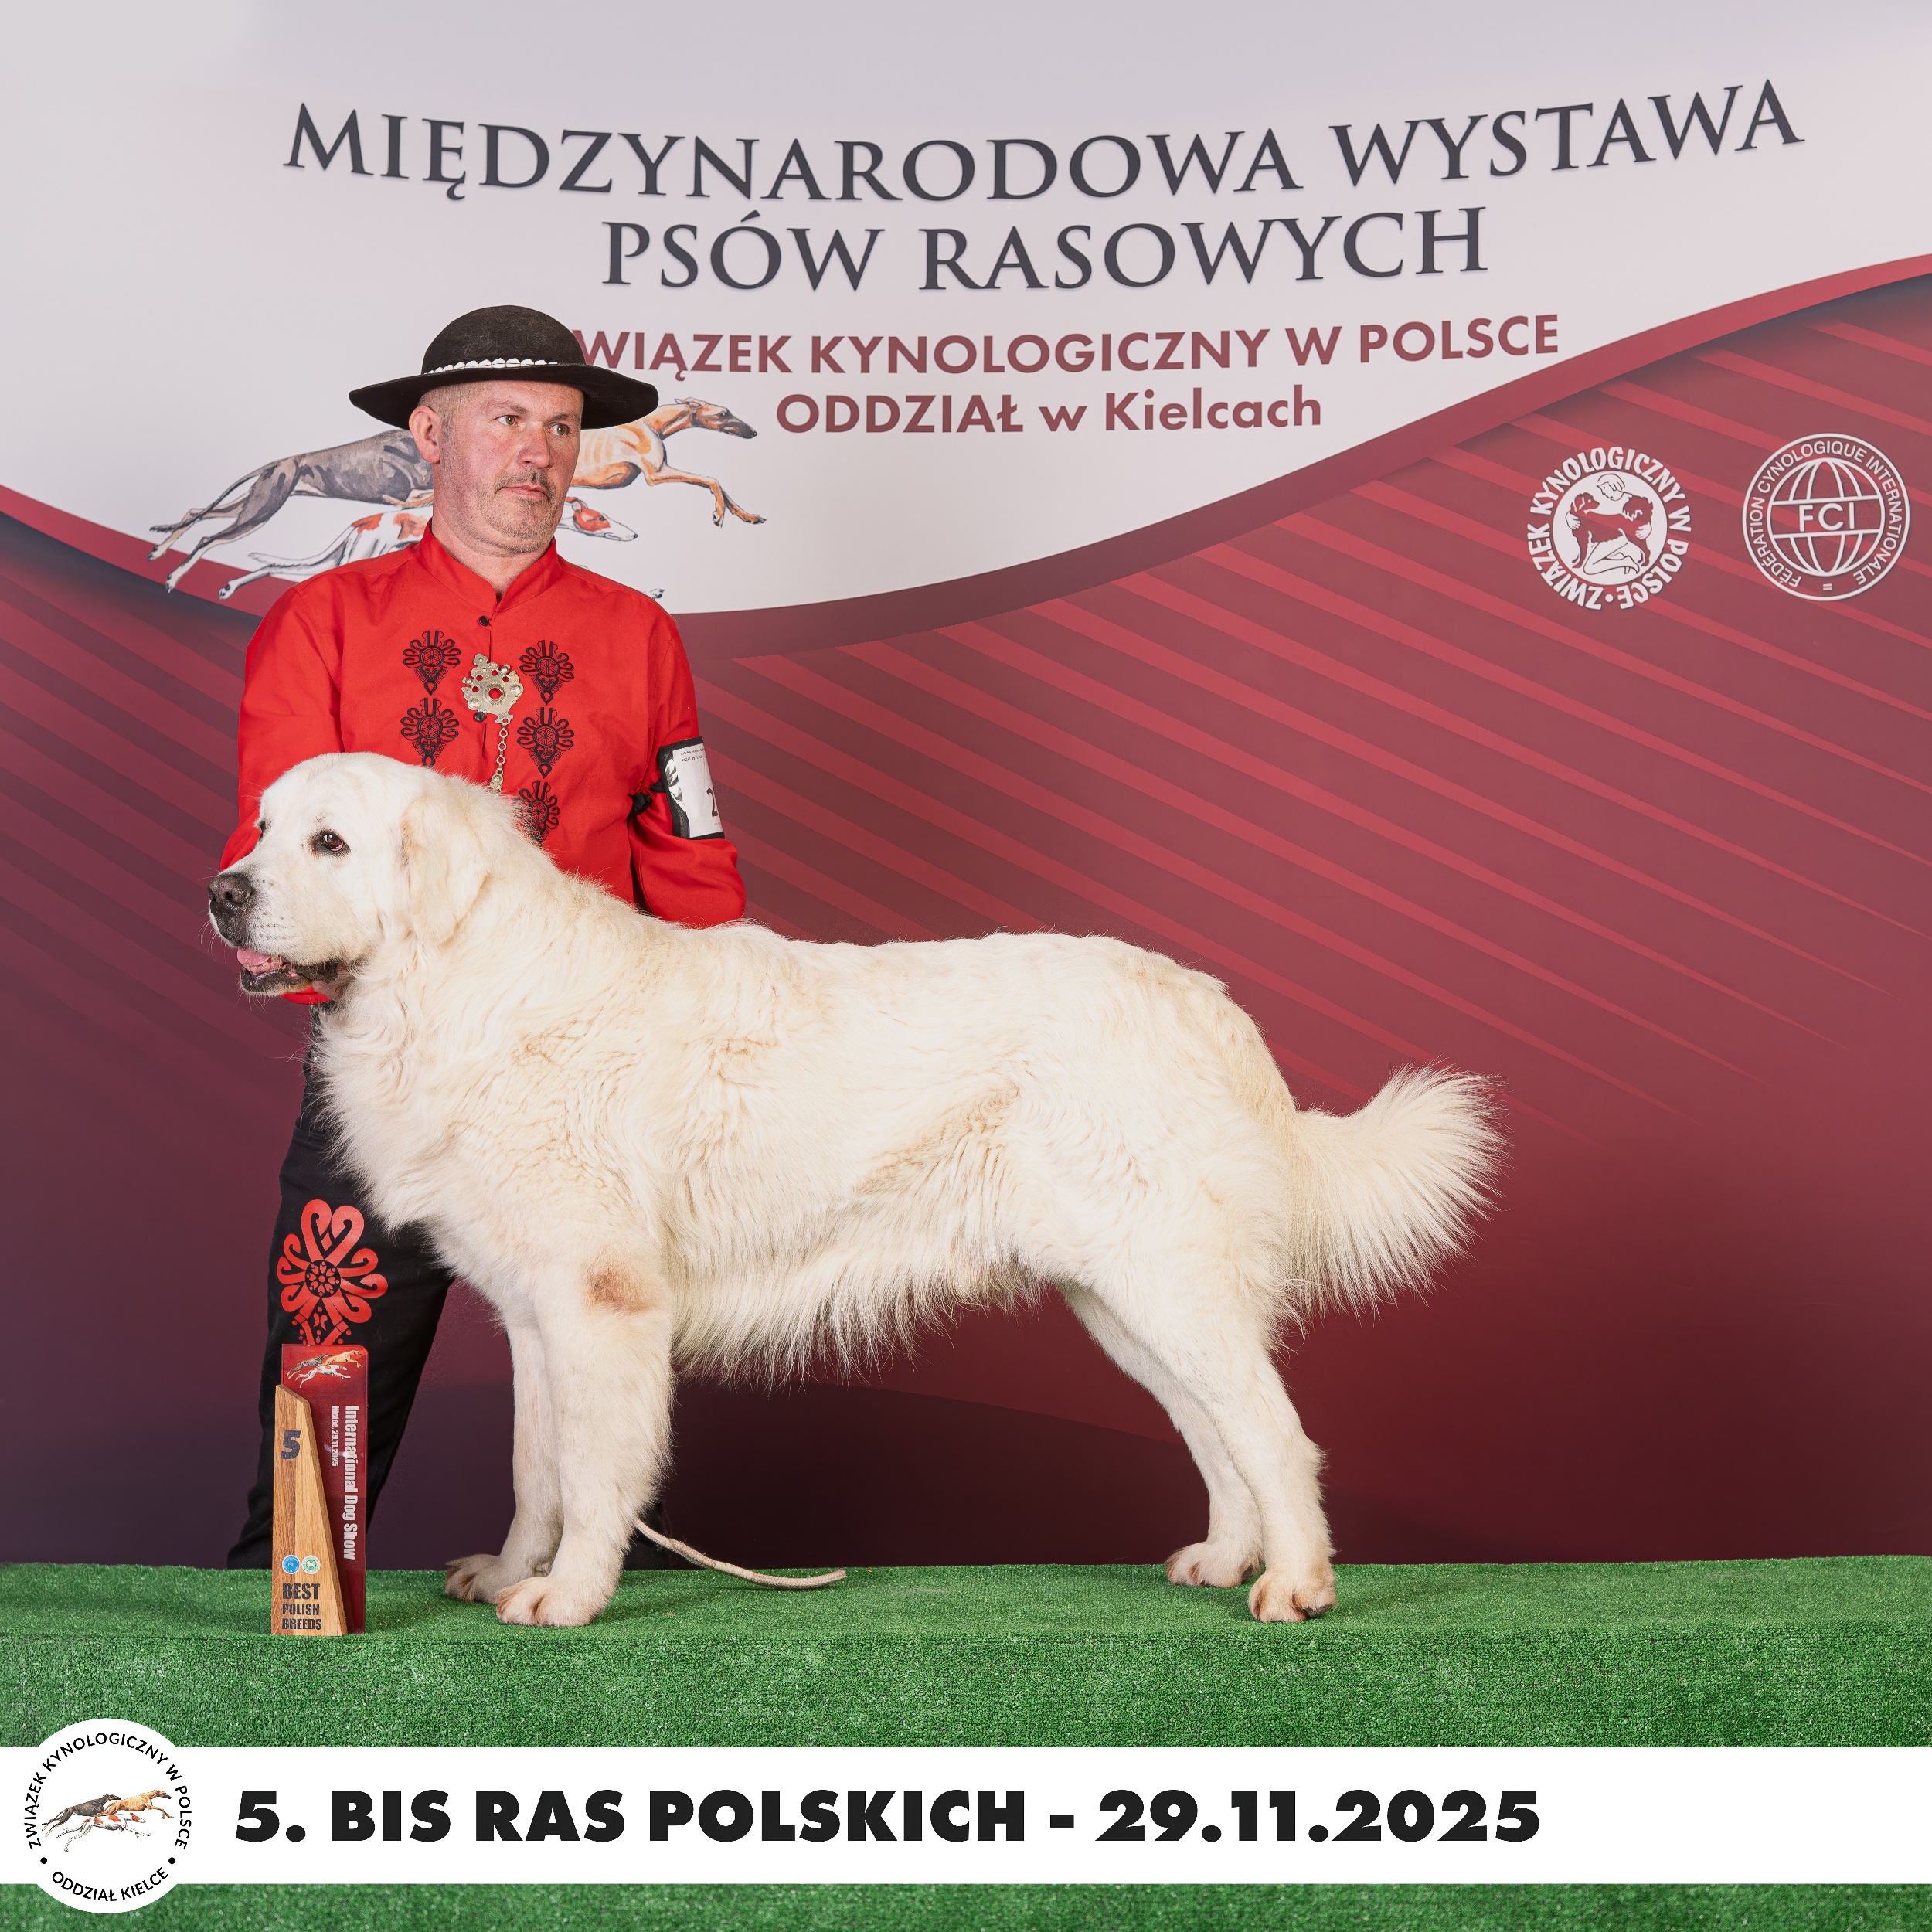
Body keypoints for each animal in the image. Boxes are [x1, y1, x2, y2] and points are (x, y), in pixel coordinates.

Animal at [208, 754, 1499, 1628]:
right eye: (261, 828)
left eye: (328, 844)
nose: (222, 893)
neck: (460, 984)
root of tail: (1215, 1009)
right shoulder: (535, 1315)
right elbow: (537, 1471)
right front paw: (510, 1570)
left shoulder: (598, 1305)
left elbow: (593, 1472)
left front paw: (567, 1598)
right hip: (1122, 1299)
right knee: (1214, 1429)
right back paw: (1226, 1560)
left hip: (1164, 1281)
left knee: (1276, 1433)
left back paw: (1297, 1584)